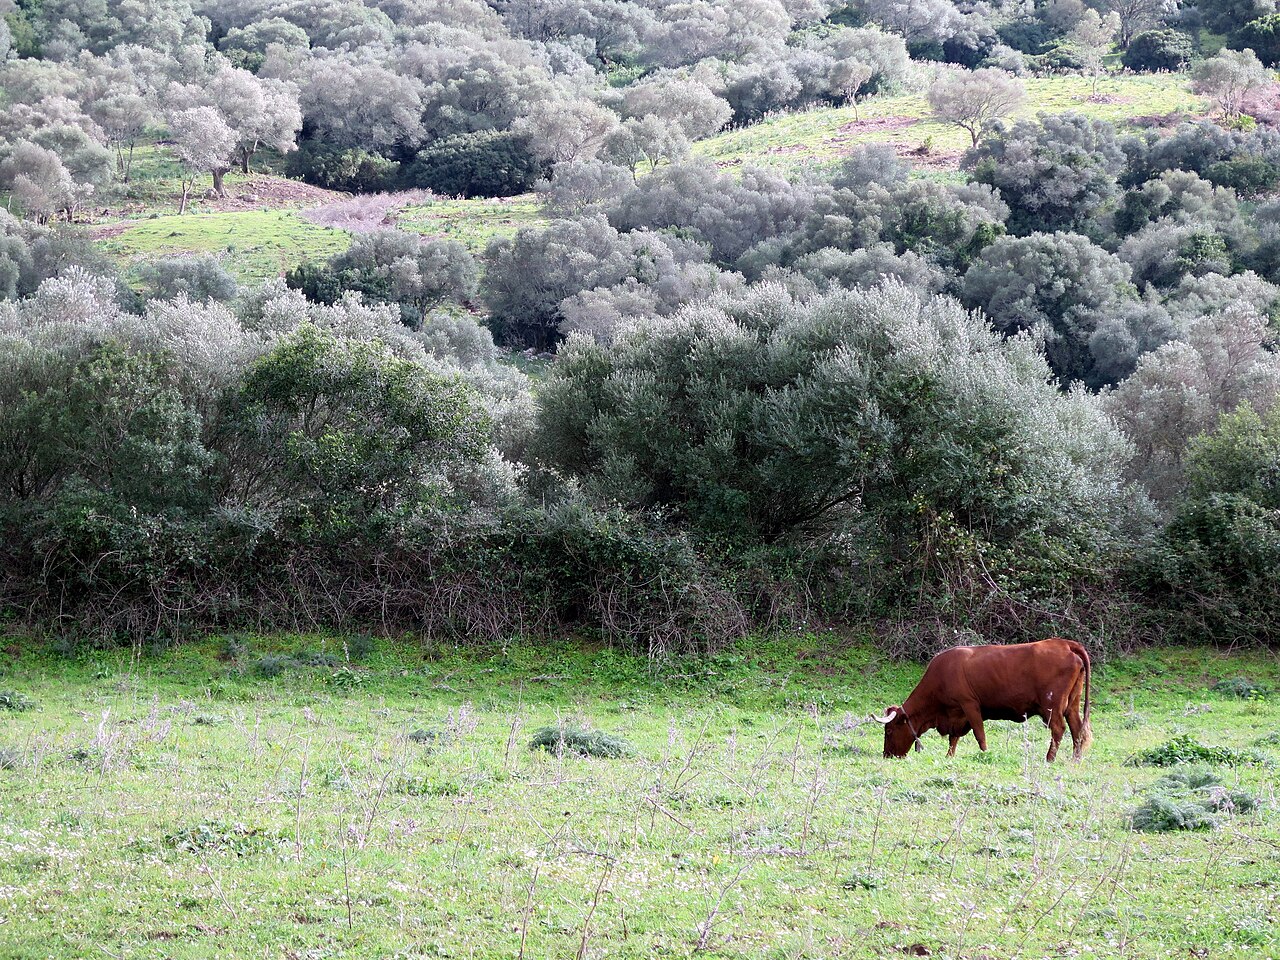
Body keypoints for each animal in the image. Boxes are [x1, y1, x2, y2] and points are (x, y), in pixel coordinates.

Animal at [869, 638, 1092, 762]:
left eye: (889, 730)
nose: (886, 755)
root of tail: (1065, 644)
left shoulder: (970, 705)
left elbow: (979, 735)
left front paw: (985, 754)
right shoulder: (956, 714)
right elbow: (954, 738)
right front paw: (949, 757)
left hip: (1052, 707)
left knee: (1059, 729)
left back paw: (1049, 758)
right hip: (1072, 705)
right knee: (1077, 730)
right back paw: (1075, 759)